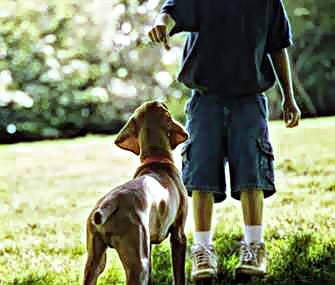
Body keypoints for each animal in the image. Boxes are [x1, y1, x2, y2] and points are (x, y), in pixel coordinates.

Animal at [83, 101, 190, 282]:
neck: (156, 161)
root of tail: (109, 203)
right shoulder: (179, 235)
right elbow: (179, 275)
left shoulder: (150, 244)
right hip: (139, 264)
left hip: (95, 262)